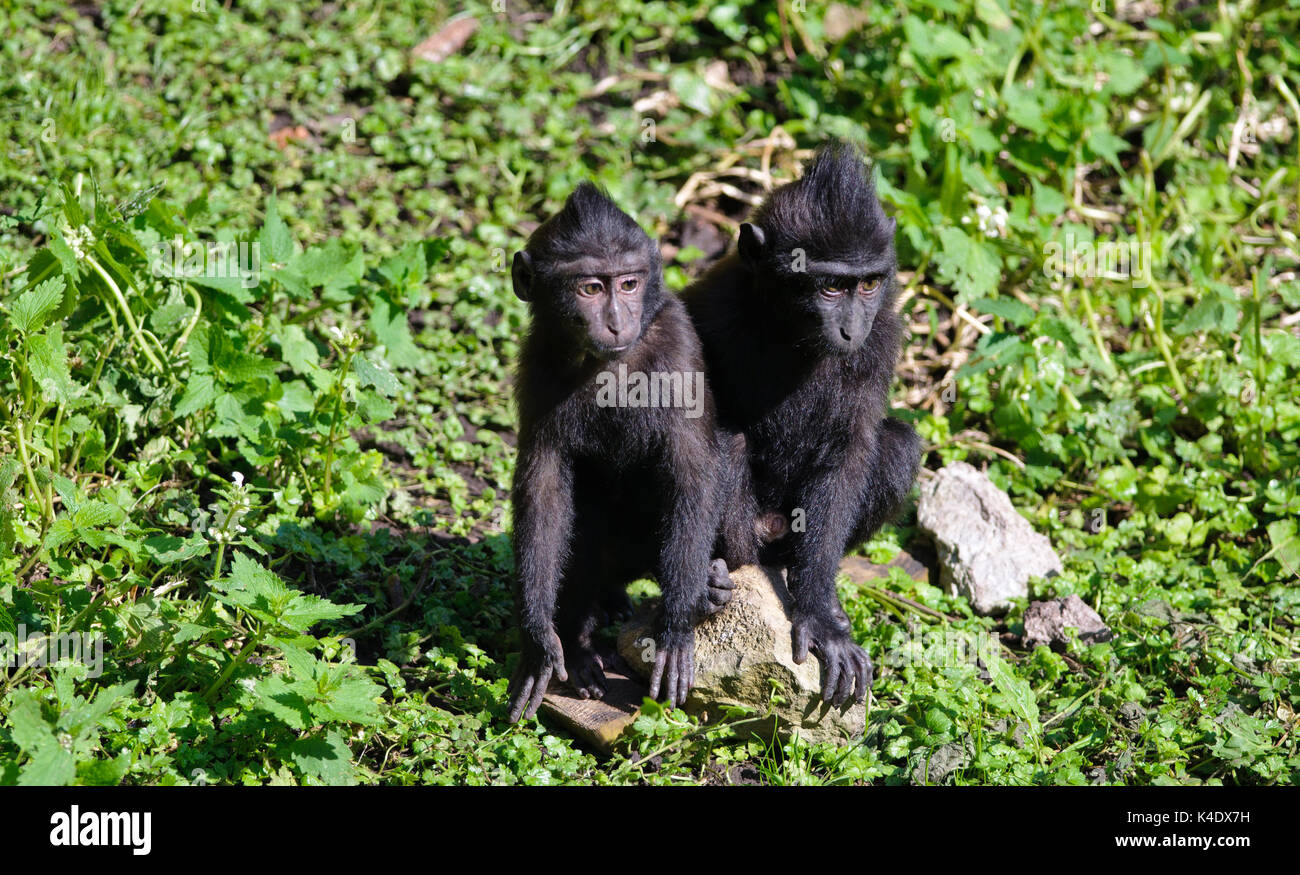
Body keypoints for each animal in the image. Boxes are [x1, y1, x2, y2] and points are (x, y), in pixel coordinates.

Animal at [504, 180, 733, 717]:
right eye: (590, 288)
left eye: (628, 284)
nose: (615, 321)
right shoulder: (538, 360)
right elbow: (545, 490)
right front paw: (539, 638)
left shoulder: (678, 343)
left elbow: (692, 470)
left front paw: (676, 626)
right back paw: (583, 648)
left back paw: (708, 589)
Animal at [681, 139, 925, 707]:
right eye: (830, 287)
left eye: (868, 284)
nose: (851, 330)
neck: (791, 333)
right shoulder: (708, 310)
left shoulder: (883, 333)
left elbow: (849, 450)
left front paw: (821, 617)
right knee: (727, 441)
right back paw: (719, 581)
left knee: (898, 444)